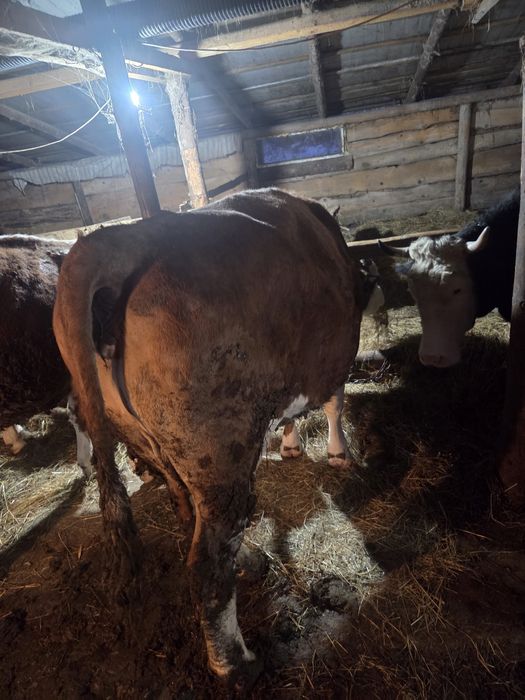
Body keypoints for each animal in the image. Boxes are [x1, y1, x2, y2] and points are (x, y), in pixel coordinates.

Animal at [52, 188, 369, 687]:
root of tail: (121, 238)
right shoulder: (333, 354)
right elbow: (335, 401)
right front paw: (338, 453)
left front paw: (292, 445)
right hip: (221, 452)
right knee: (208, 561)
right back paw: (237, 663)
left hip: (155, 443)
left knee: (187, 508)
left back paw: (248, 560)